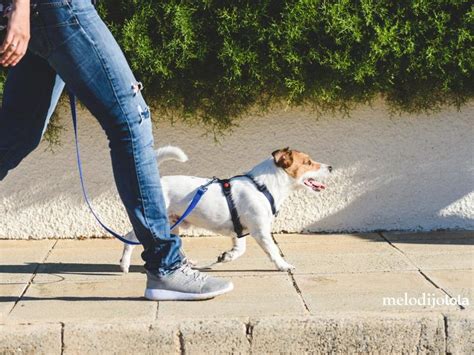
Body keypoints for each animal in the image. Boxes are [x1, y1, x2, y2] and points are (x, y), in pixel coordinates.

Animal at [120, 147, 332, 272]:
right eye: (308, 162)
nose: (330, 167)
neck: (263, 186)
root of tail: (157, 183)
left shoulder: (239, 231)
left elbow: (240, 249)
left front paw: (227, 257)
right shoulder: (261, 231)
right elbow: (273, 250)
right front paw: (283, 265)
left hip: (173, 224)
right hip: (155, 222)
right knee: (129, 238)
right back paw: (124, 264)